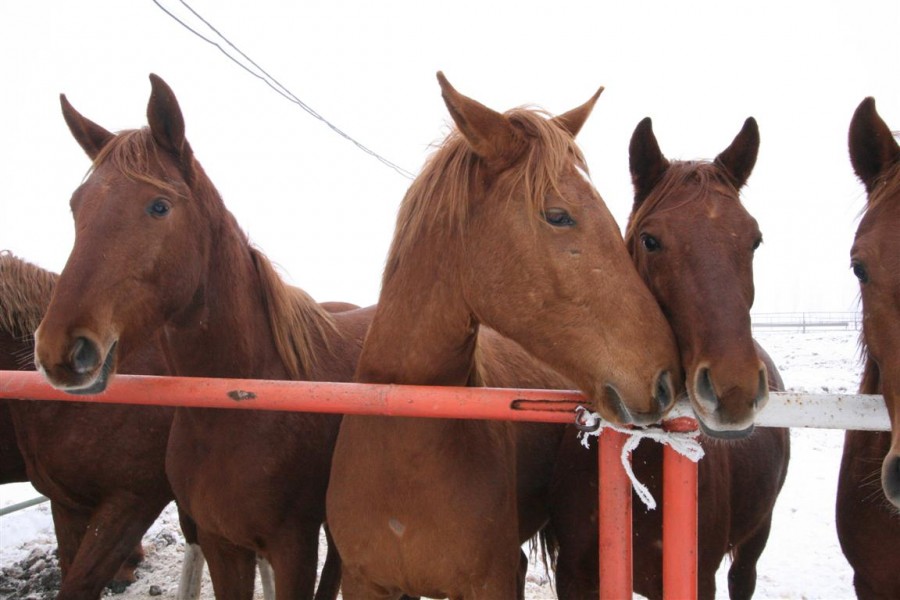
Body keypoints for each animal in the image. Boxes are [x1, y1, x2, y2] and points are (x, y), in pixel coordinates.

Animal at [30, 75, 376, 600]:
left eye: (159, 206)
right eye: (76, 206)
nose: (59, 349)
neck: (242, 404)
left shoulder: (293, 547)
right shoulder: (221, 544)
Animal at [540, 117, 788, 600]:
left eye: (755, 240)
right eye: (650, 240)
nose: (734, 389)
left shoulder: (697, 578)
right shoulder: (574, 577)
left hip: (757, 536)